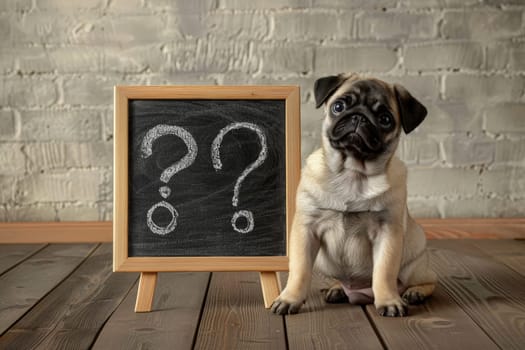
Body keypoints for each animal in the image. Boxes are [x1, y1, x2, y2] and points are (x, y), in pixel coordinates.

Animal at [272, 73, 436, 318]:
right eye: (338, 106)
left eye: (385, 119)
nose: (359, 117)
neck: (352, 173)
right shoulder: (306, 229)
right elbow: (299, 270)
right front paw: (289, 299)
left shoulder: (387, 232)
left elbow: (384, 273)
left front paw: (389, 301)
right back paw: (337, 289)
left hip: (414, 264)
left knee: (428, 281)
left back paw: (414, 292)